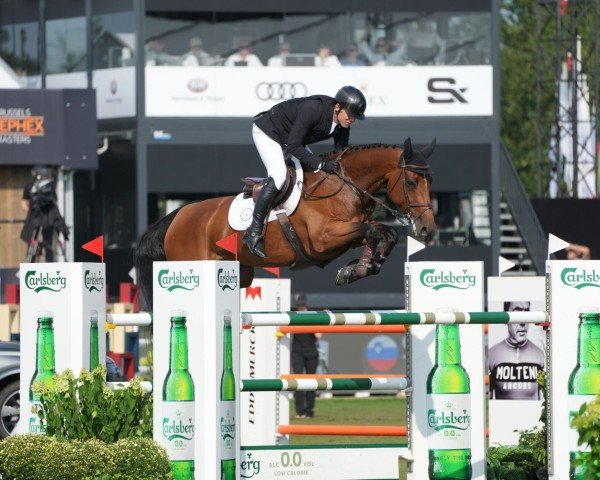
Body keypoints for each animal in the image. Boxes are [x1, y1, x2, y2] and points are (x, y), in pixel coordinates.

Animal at [135, 136, 436, 308]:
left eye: (429, 181)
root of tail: (176, 217)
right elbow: (373, 232)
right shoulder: (324, 240)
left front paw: (359, 268)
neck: (343, 185)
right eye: (412, 182)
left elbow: (385, 234)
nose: (427, 230)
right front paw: (356, 269)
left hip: (241, 273)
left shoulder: (348, 233)